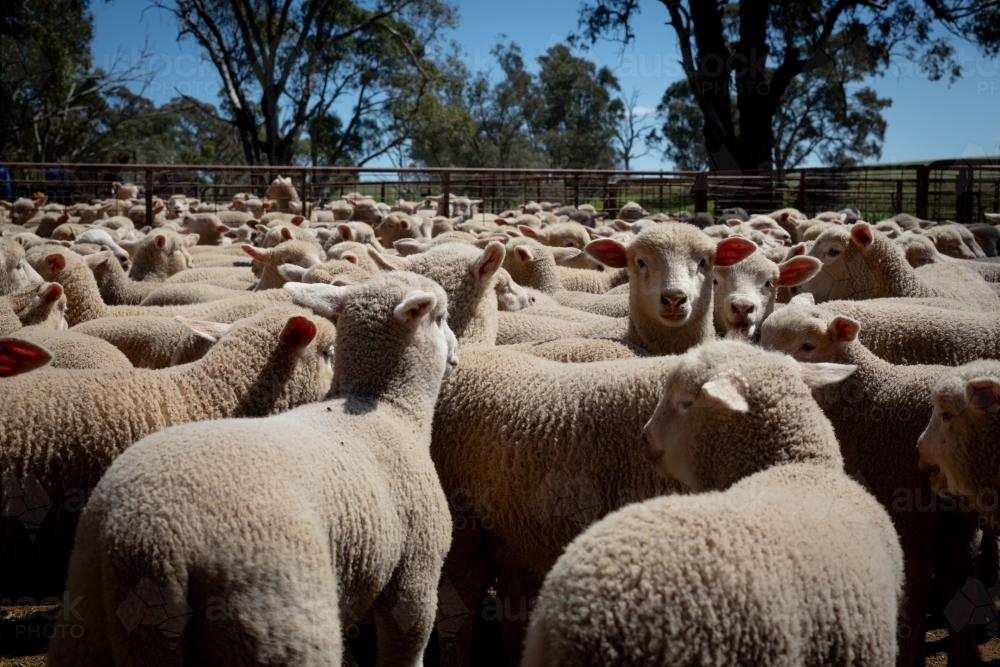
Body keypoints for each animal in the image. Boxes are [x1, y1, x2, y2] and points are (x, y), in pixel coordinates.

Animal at [49, 272, 457, 666]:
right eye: (441, 316)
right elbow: (406, 651)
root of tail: (142, 542)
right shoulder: (416, 579)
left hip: (85, 613)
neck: (387, 408)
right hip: (268, 615)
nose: (456, 353)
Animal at [760, 303, 985, 665]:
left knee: (920, 591)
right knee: (961, 577)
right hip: (960, 518)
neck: (869, 399)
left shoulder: (909, 511)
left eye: (808, 346)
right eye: (761, 337)